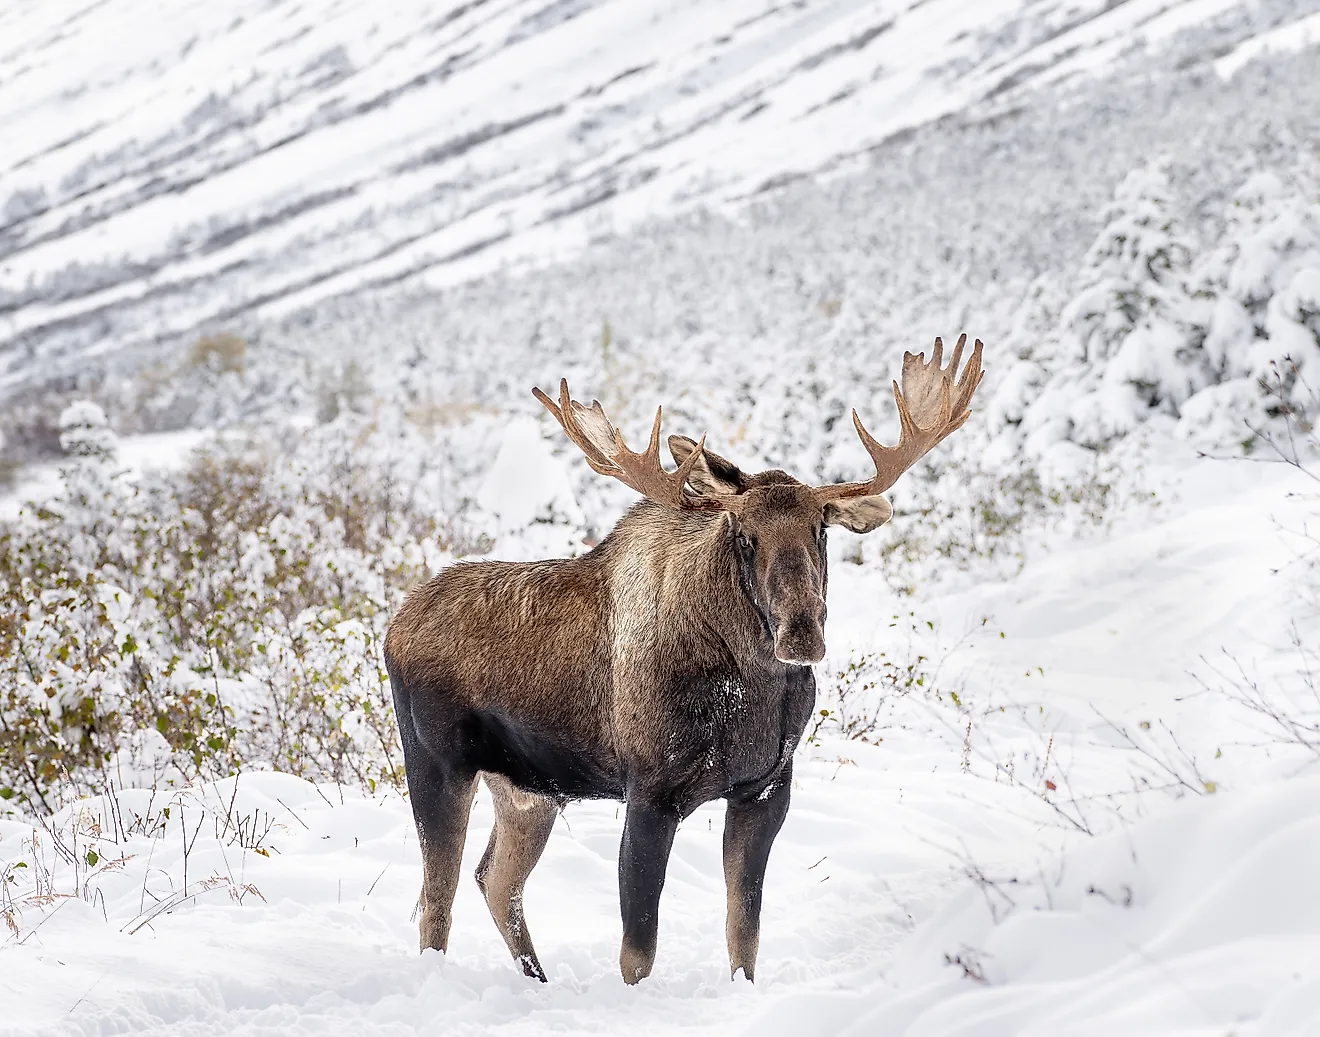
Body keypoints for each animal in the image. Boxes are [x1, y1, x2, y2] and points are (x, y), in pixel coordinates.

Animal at [384, 335, 984, 985]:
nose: (801, 633)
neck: (753, 691)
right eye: (744, 534)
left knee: (495, 880)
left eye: (821, 530)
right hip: (437, 764)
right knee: (434, 903)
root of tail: (393, 626)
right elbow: (638, 949)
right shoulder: (650, 793)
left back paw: (538, 981)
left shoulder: (765, 789)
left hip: (529, 790)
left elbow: (743, 931)